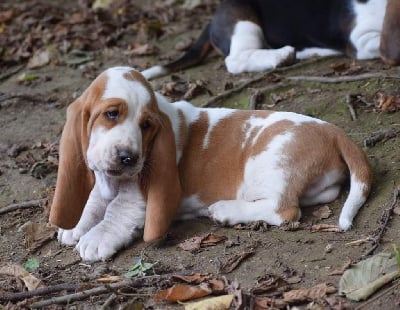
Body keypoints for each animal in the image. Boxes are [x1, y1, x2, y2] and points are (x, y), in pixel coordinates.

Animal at [49, 66, 372, 260]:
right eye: (111, 114)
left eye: (146, 125)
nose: (129, 158)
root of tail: (332, 131)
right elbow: (94, 201)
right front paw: (78, 225)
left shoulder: (138, 193)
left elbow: (117, 210)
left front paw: (97, 238)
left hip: (268, 164)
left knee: (284, 211)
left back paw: (225, 210)